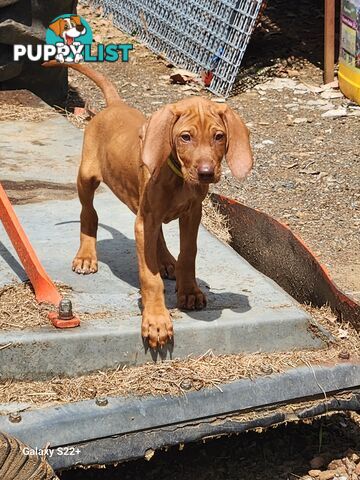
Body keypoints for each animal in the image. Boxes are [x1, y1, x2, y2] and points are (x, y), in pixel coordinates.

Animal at [43, 62, 252, 348]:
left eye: (219, 136)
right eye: (185, 137)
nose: (206, 173)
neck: (177, 176)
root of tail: (114, 105)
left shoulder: (191, 214)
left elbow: (189, 253)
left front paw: (189, 290)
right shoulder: (145, 221)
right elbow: (150, 277)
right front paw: (156, 321)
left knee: (157, 234)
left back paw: (166, 261)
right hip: (87, 178)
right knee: (89, 214)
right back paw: (86, 256)